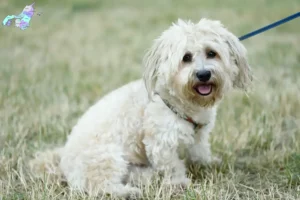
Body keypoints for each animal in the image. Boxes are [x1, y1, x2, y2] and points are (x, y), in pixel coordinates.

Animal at [29, 18, 251, 198]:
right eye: (186, 57)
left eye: (212, 53)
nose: (203, 74)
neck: (180, 101)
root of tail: (63, 162)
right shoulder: (161, 143)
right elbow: (172, 166)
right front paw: (179, 183)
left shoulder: (199, 135)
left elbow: (199, 152)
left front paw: (209, 163)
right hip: (108, 157)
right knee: (99, 186)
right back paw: (127, 192)